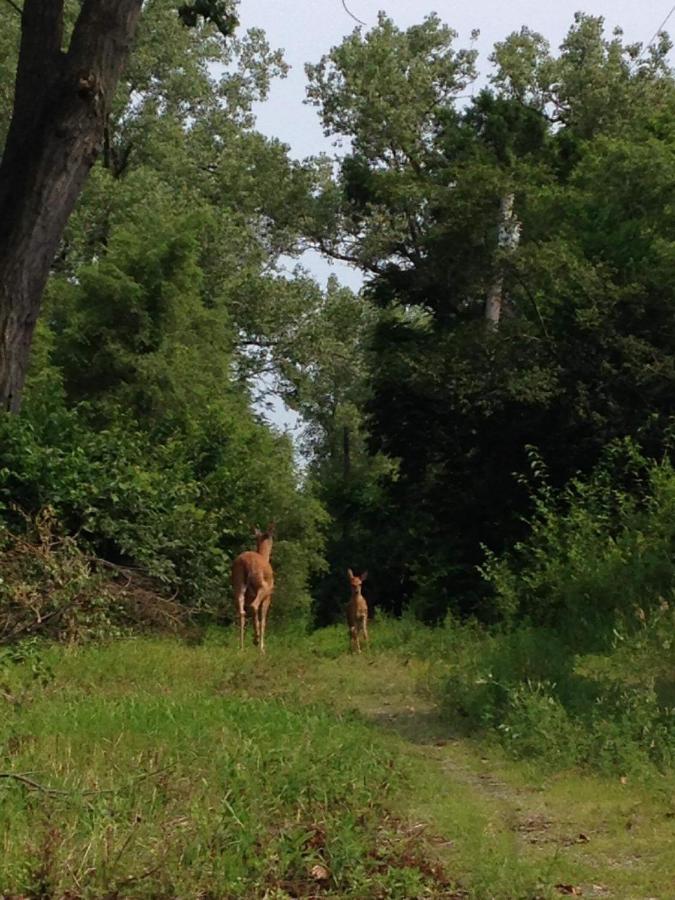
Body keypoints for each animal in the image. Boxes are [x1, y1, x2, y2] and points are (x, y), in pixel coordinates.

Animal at [232, 524, 274, 652]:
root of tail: (245, 562)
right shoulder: (268, 597)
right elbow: (263, 620)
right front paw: (261, 646)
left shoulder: (250, 595)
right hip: (262, 586)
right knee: (254, 606)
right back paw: (257, 642)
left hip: (238, 584)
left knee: (242, 611)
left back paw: (241, 647)